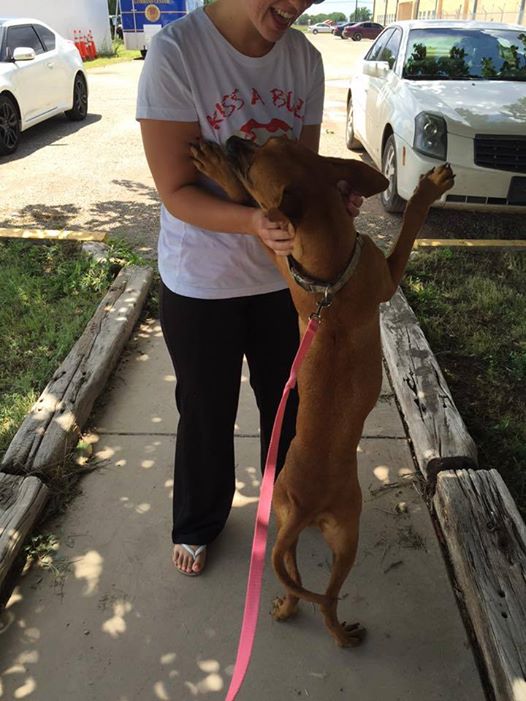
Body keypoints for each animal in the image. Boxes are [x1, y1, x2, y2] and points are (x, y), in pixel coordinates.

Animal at [192, 134, 456, 644]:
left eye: (265, 147)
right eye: (250, 158)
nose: (232, 141)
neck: (332, 269)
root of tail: (305, 506)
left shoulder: (282, 254)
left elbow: (251, 213)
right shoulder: (381, 274)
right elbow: (410, 225)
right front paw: (427, 190)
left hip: (290, 530)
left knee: (302, 588)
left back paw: (288, 611)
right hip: (346, 533)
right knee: (327, 599)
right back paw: (341, 634)